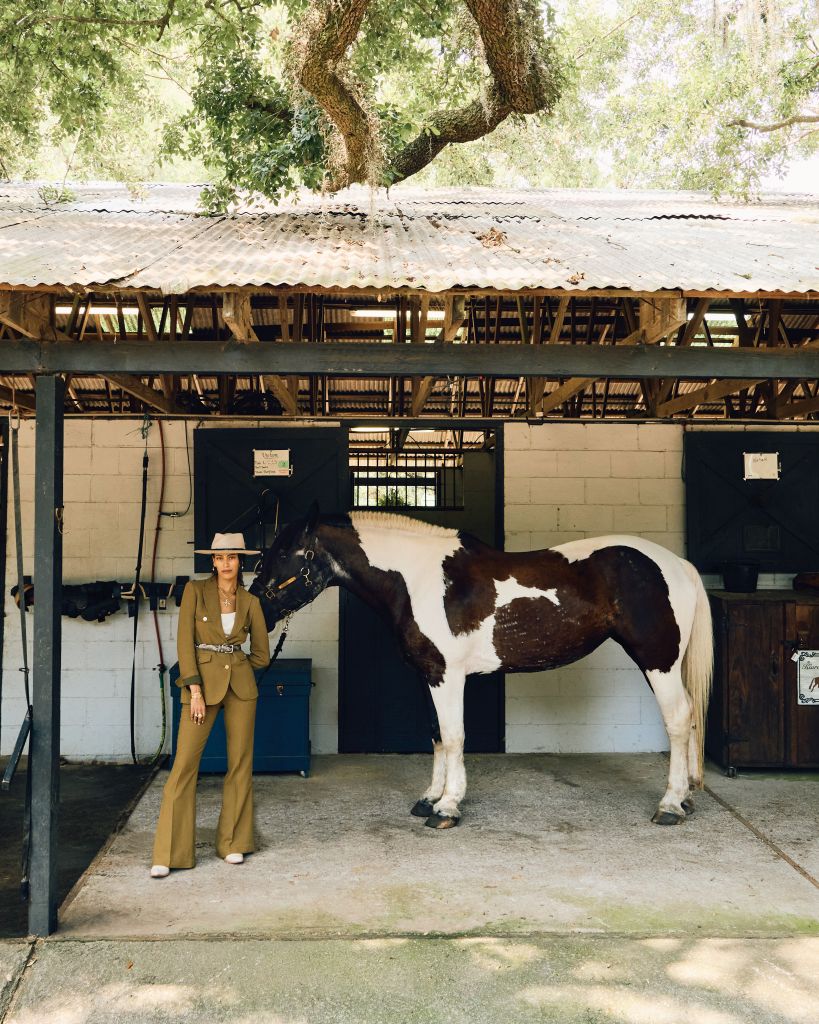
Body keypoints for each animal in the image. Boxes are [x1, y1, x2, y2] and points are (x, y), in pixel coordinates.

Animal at [252, 503, 712, 831]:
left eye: (287, 553)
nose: (259, 608)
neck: (418, 580)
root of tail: (678, 565)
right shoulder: (428, 674)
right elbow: (436, 735)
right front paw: (429, 799)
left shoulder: (447, 675)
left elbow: (455, 736)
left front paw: (448, 807)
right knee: (689, 718)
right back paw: (687, 797)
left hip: (658, 661)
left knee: (678, 718)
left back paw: (670, 805)